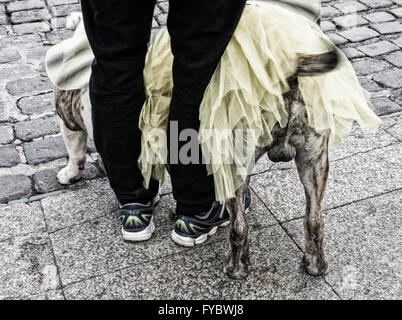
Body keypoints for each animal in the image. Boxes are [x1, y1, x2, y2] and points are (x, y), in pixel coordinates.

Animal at [53, 5, 336, 280]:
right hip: (314, 161)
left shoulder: (71, 122)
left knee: (239, 228)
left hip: (234, 162)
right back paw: (316, 264)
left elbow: (75, 150)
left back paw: (236, 267)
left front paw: (69, 173)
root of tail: (286, 83)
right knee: (315, 219)